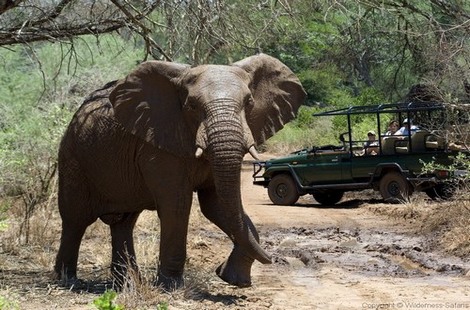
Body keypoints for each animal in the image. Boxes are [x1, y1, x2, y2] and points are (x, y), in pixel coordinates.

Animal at [54, 52, 304, 288]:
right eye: (192, 106)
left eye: (249, 102)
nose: (273, 259)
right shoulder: (158, 144)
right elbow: (177, 205)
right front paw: (171, 286)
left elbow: (216, 205)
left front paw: (233, 280)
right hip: (72, 158)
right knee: (75, 219)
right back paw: (68, 280)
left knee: (124, 222)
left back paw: (127, 284)